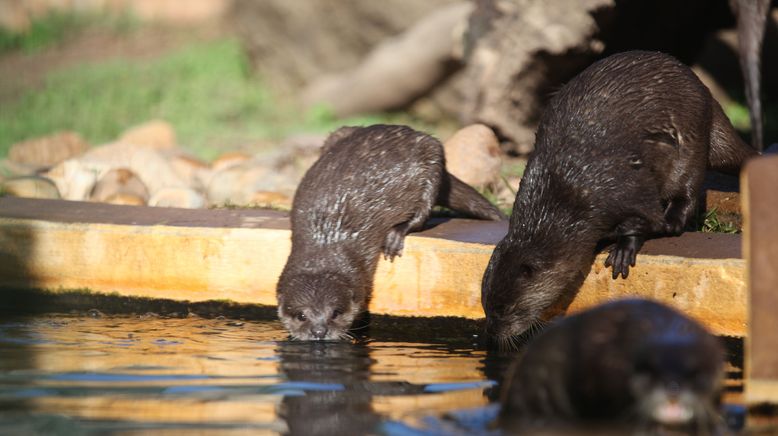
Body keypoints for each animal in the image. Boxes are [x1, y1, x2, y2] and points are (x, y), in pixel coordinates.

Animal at [278, 122, 504, 340]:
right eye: (301, 315)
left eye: (335, 313)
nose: (319, 331)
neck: (326, 239)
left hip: (431, 155)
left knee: (425, 206)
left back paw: (397, 233)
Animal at [478, 51, 756, 342]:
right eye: (486, 305)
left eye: (505, 308)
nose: (491, 332)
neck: (566, 202)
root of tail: (705, 92)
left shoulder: (624, 186)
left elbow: (645, 216)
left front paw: (624, 249)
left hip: (691, 136)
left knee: (687, 190)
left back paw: (673, 220)